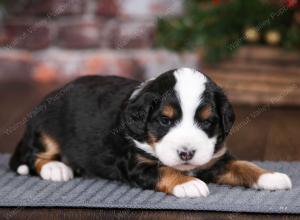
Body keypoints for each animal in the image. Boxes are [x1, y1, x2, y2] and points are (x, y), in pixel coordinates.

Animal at [10, 68, 292, 197]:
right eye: (165, 121)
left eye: (207, 121)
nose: (187, 153)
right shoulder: (136, 164)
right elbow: (164, 170)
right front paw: (188, 183)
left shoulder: (216, 157)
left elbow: (243, 165)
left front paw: (271, 176)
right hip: (45, 129)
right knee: (32, 156)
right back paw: (56, 168)